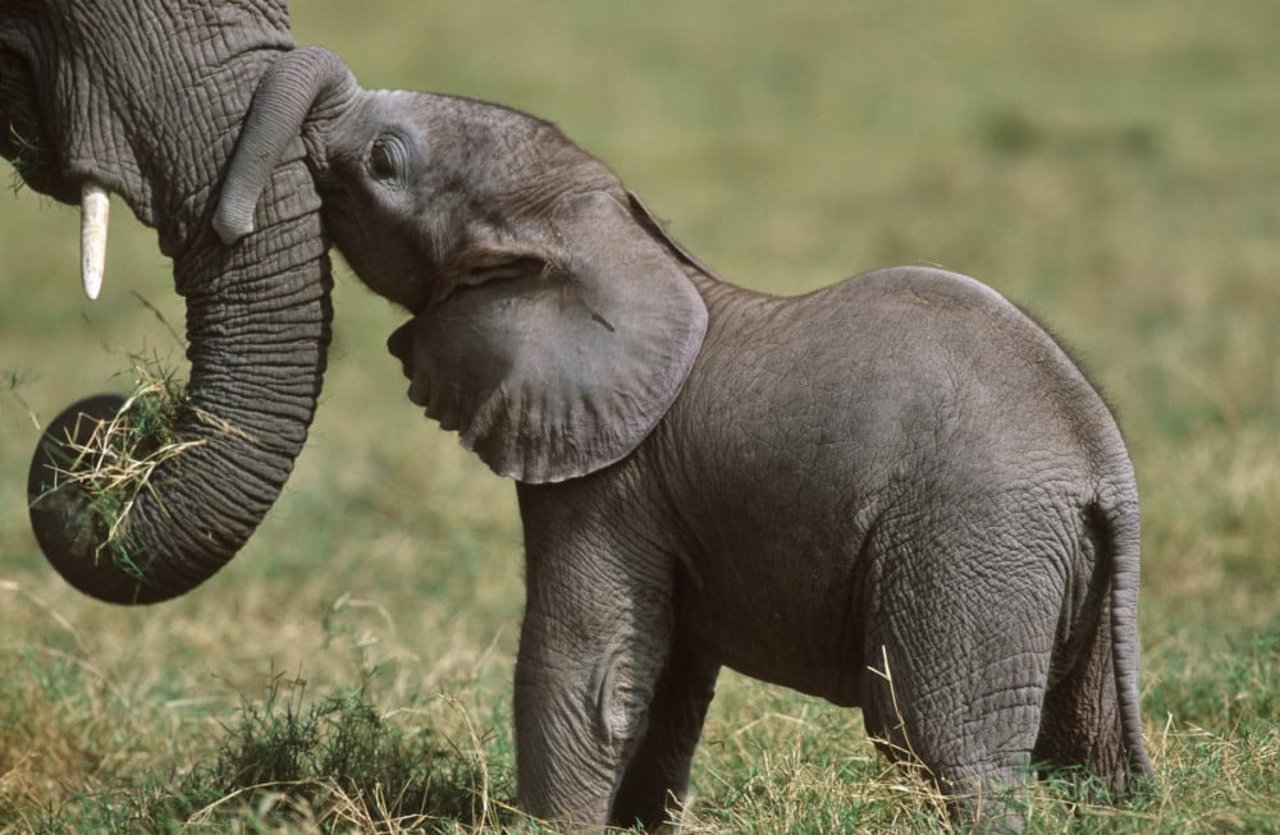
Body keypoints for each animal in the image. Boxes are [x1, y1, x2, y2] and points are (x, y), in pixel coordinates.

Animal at [217, 48, 1152, 829]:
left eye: (385, 162)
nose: (228, 225)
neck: (616, 238)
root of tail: (1102, 460)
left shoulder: (610, 477)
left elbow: (584, 672)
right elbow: (666, 683)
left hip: (971, 544)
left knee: (938, 743)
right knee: (1089, 750)